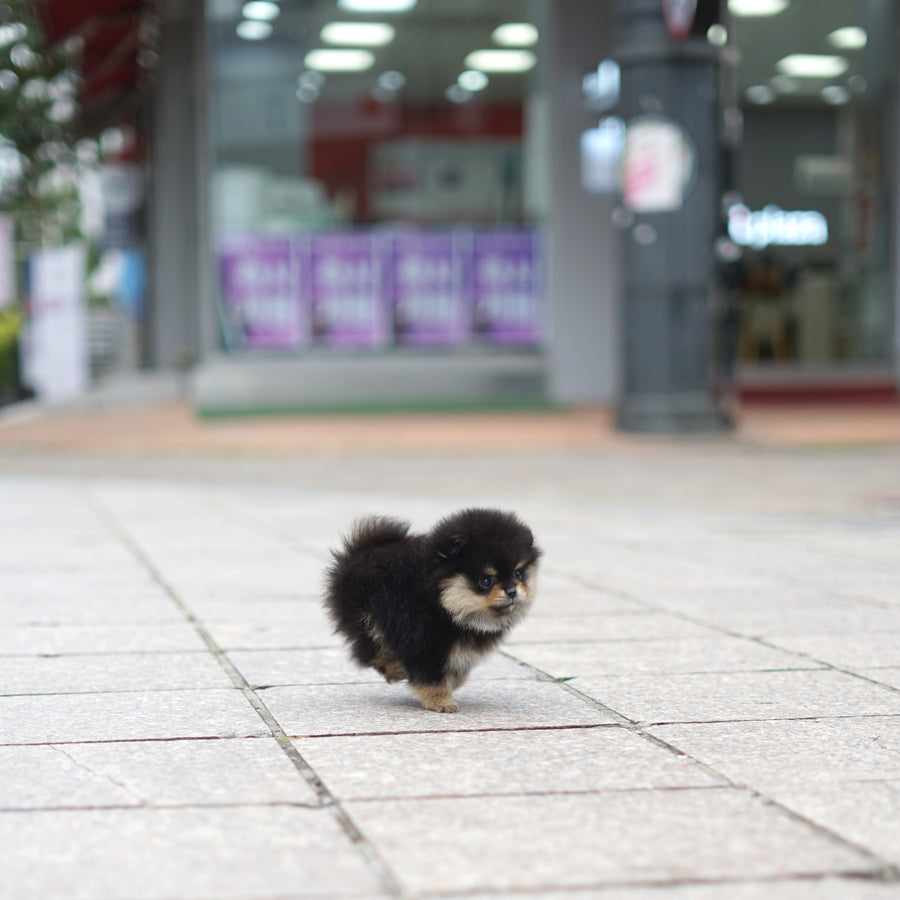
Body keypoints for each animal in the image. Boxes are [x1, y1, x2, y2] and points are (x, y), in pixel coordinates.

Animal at [326, 510, 540, 712]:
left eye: (518, 573)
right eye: (486, 581)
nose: (511, 590)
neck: (441, 602)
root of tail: (363, 548)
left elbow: (457, 671)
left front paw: (451, 684)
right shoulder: (422, 639)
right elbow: (430, 674)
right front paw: (440, 700)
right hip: (365, 615)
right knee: (372, 648)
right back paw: (396, 669)